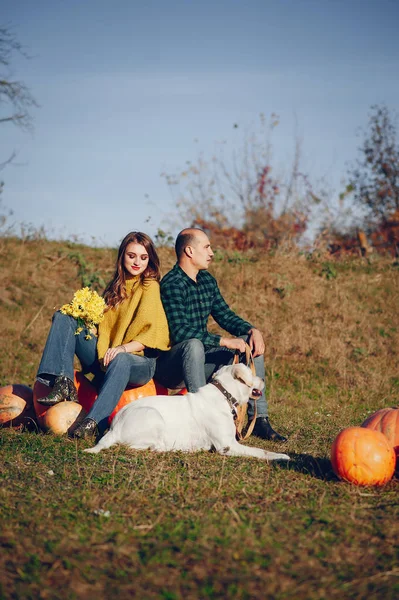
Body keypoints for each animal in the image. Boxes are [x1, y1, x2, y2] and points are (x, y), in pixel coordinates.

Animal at [84, 364, 290, 462]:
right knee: (141, 447)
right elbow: (260, 451)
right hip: (153, 417)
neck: (224, 393)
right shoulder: (227, 446)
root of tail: (114, 428)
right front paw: (280, 456)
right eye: (251, 372)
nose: (262, 378)